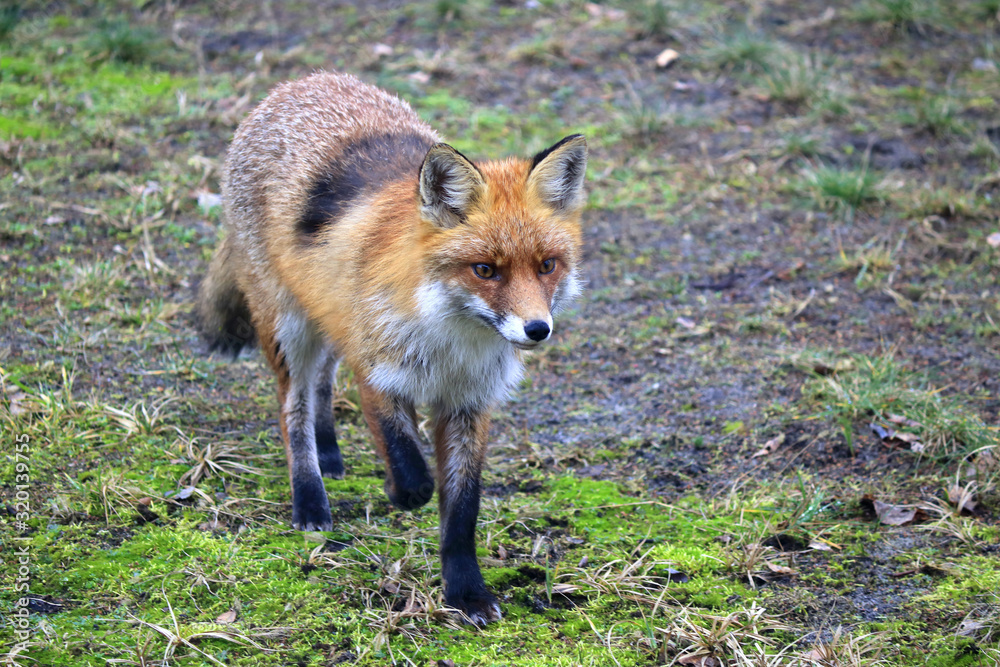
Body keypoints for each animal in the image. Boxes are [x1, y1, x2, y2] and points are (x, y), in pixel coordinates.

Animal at [196, 73, 584, 628]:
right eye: (485, 270)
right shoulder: (377, 372)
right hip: (288, 327)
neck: (451, 343)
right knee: (294, 409)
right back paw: (310, 498)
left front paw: (466, 592)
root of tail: (299, 82)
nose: (537, 329)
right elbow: (410, 467)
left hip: (325, 317)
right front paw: (399, 493)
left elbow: (462, 509)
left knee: (322, 381)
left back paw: (330, 452)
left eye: (547, 265)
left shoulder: (469, 403)